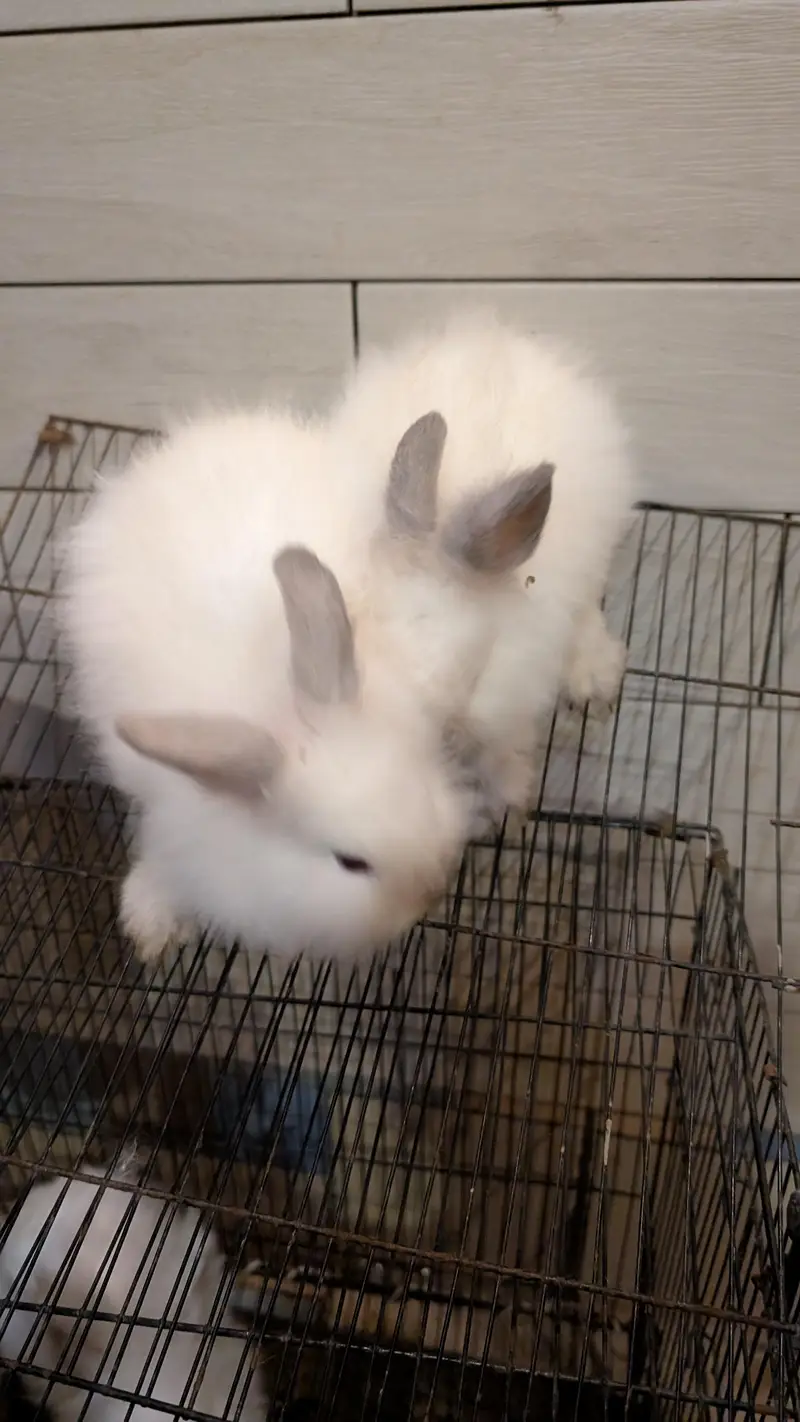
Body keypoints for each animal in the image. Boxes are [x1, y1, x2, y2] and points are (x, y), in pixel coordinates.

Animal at [56, 407, 490, 964]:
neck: (279, 714)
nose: (430, 891)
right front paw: (152, 925)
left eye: (423, 795)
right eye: (349, 863)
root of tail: (199, 437)